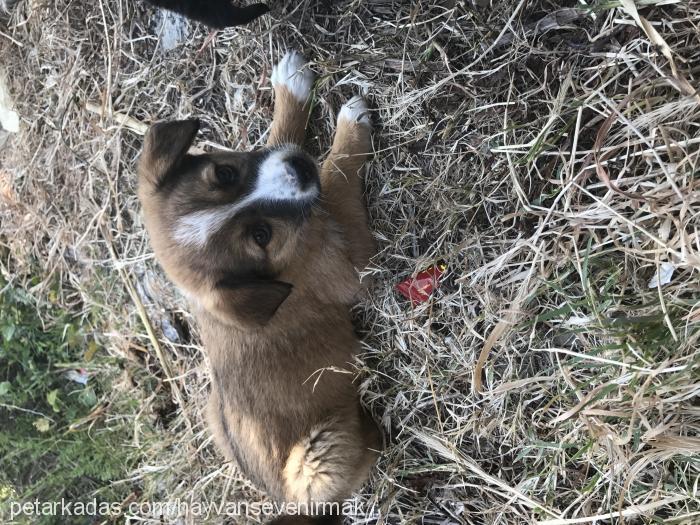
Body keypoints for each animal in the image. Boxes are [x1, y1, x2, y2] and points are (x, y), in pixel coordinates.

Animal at [135, 52, 380, 520]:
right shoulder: (349, 267)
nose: (300, 167)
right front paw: (348, 129)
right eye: (260, 236)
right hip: (315, 460)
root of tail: (282, 501)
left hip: (213, 413)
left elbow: (277, 139)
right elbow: (334, 177)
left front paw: (291, 90)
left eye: (226, 172)